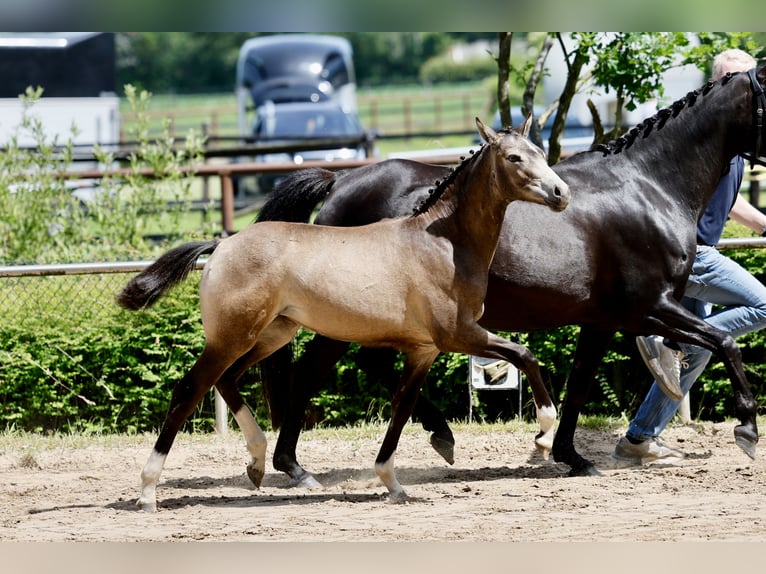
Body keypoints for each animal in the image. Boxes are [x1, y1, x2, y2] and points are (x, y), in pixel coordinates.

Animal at [116, 117, 570, 511]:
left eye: (540, 151)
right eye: (514, 157)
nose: (561, 193)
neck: (443, 244)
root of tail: (223, 244)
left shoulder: (423, 350)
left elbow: (402, 408)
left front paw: (393, 482)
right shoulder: (459, 334)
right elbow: (525, 355)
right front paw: (544, 435)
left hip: (271, 334)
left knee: (228, 380)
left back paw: (260, 464)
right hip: (232, 338)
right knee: (188, 391)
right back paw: (148, 492)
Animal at [255, 66, 766, 486]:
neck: (648, 187)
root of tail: (340, 182)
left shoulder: (603, 321)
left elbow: (580, 384)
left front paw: (570, 456)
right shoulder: (649, 307)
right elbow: (725, 342)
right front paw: (746, 428)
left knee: (358, 365)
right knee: (312, 373)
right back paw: (296, 466)